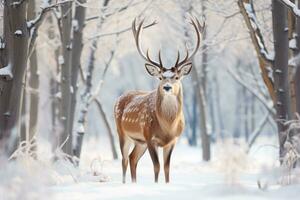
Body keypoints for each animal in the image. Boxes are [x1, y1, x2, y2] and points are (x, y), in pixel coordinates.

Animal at [113, 16, 205, 184]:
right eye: (161, 77)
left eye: (176, 77)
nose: (167, 87)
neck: (167, 127)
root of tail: (120, 97)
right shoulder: (150, 138)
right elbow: (156, 167)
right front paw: (156, 185)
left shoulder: (173, 140)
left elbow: (167, 168)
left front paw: (167, 184)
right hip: (122, 132)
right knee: (124, 159)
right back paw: (125, 184)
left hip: (139, 141)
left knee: (132, 158)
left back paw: (134, 183)